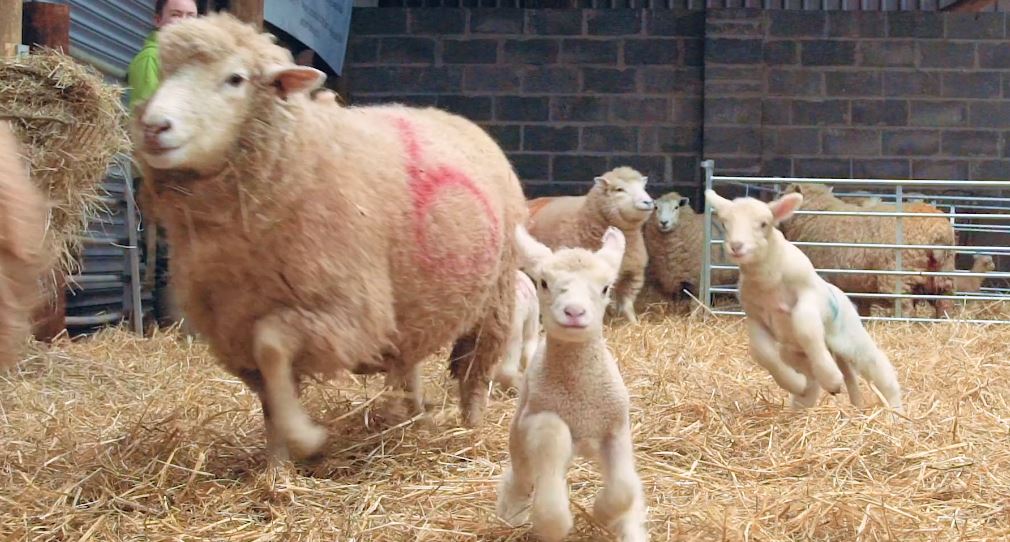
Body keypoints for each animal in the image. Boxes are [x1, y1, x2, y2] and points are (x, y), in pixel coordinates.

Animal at [130, 13, 529, 460]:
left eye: (235, 79)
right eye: (164, 73)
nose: (154, 127)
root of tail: (459, 120)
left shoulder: (346, 314)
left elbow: (271, 345)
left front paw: (305, 437)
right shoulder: (233, 327)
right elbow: (270, 394)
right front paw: (276, 466)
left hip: (494, 299)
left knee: (475, 370)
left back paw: (470, 429)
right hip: (411, 308)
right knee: (409, 361)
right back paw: (412, 419)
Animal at [494, 225, 646, 540]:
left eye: (605, 288)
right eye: (543, 282)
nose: (574, 312)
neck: (580, 400)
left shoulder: (616, 427)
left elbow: (624, 487)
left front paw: (604, 514)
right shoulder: (539, 419)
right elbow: (552, 436)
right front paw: (555, 524)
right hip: (518, 435)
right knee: (522, 478)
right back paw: (511, 514)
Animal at [521, 164, 654, 322]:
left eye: (643, 187)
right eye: (619, 189)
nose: (648, 202)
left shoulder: (633, 274)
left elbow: (627, 304)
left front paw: (633, 322)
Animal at [702, 187, 909, 411]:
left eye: (764, 223)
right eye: (725, 223)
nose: (736, 246)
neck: (769, 281)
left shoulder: (809, 296)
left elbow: (806, 328)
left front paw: (832, 378)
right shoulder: (756, 316)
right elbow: (762, 353)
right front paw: (795, 384)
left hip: (851, 338)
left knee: (877, 366)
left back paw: (895, 409)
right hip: (797, 354)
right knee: (814, 379)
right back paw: (806, 398)